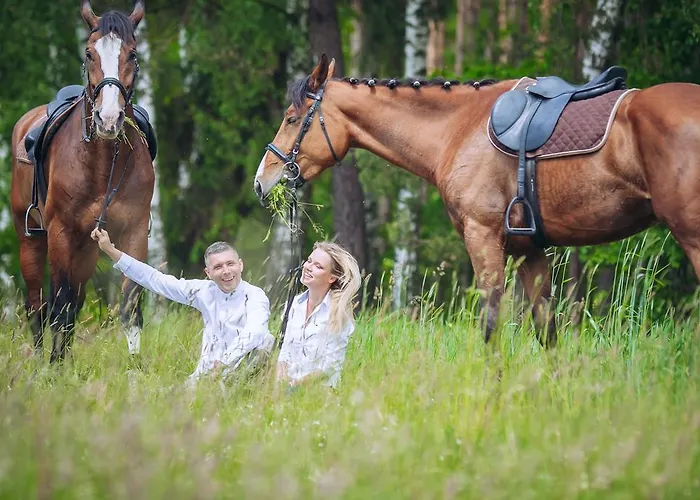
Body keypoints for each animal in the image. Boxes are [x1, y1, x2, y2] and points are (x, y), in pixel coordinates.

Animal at [10, 0, 155, 362]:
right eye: (90, 53)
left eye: (132, 54)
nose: (108, 119)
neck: (102, 165)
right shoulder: (60, 234)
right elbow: (59, 306)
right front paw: (55, 367)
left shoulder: (133, 232)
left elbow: (130, 304)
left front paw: (134, 367)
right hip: (30, 240)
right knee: (37, 306)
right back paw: (40, 361)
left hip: (86, 249)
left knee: (73, 301)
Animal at [254, 53, 700, 346]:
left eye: (292, 119)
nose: (262, 181)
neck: (459, 127)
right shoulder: (529, 251)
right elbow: (547, 330)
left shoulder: (483, 239)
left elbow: (490, 327)